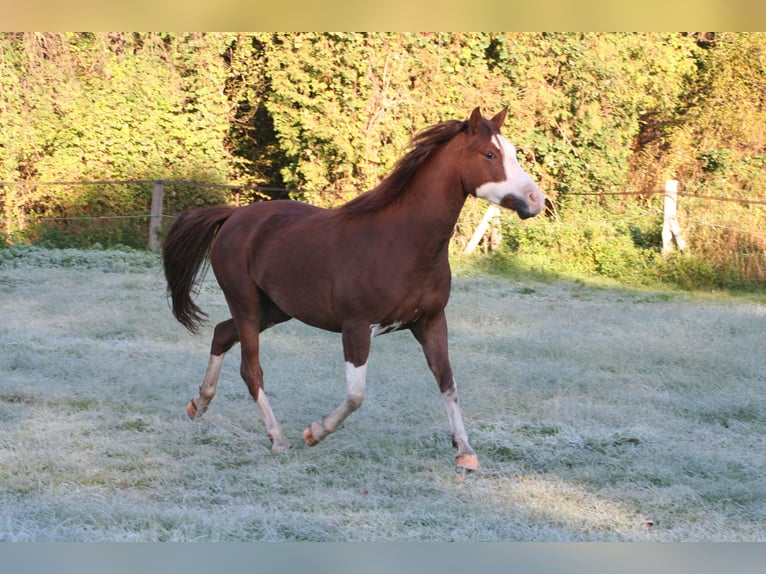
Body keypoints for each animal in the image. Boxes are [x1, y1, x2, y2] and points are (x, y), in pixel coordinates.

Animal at [162, 107, 544, 470]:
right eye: (489, 154)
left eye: (512, 151)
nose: (534, 200)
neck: (402, 242)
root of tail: (233, 217)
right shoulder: (357, 328)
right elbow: (356, 396)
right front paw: (314, 432)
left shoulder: (431, 322)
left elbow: (447, 382)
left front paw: (465, 452)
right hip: (246, 304)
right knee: (250, 368)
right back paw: (277, 437)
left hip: (274, 309)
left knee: (221, 334)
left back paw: (199, 403)